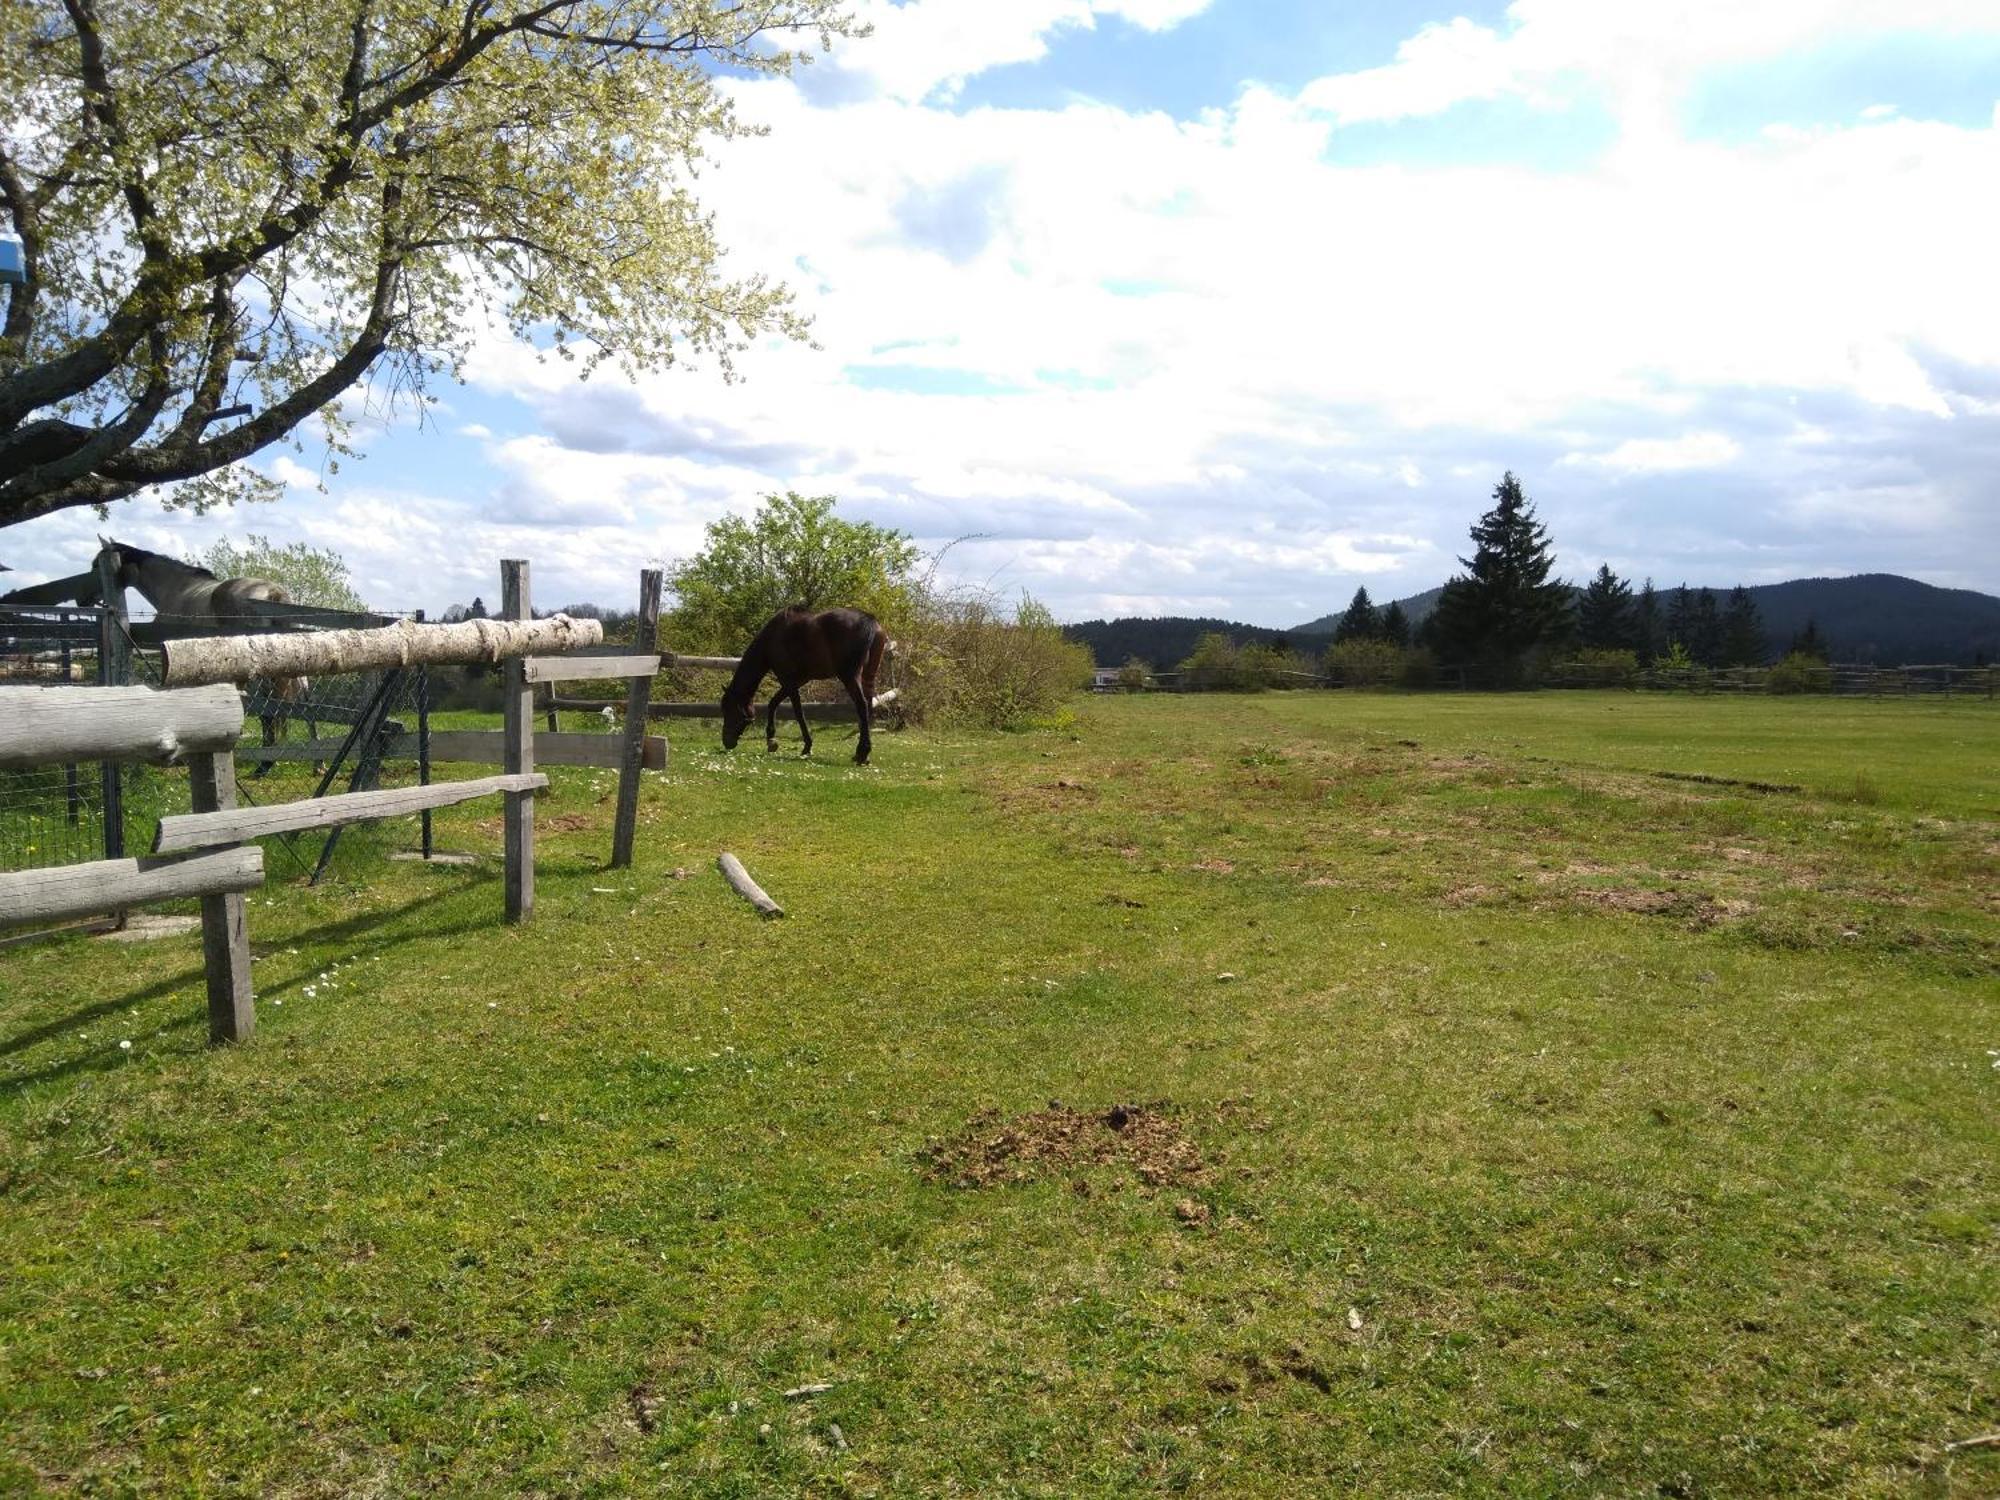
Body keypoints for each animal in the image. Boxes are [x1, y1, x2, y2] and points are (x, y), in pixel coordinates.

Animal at [716, 604, 880, 764]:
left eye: (730, 709)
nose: (726, 741)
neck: (772, 639)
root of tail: (870, 620)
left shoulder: (788, 681)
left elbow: (798, 712)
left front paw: (806, 746)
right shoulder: (796, 681)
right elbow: (773, 703)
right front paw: (771, 741)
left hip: (850, 677)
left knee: (861, 706)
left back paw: (862, 753)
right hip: (867, 675)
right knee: (867, 706)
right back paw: (861, 753)